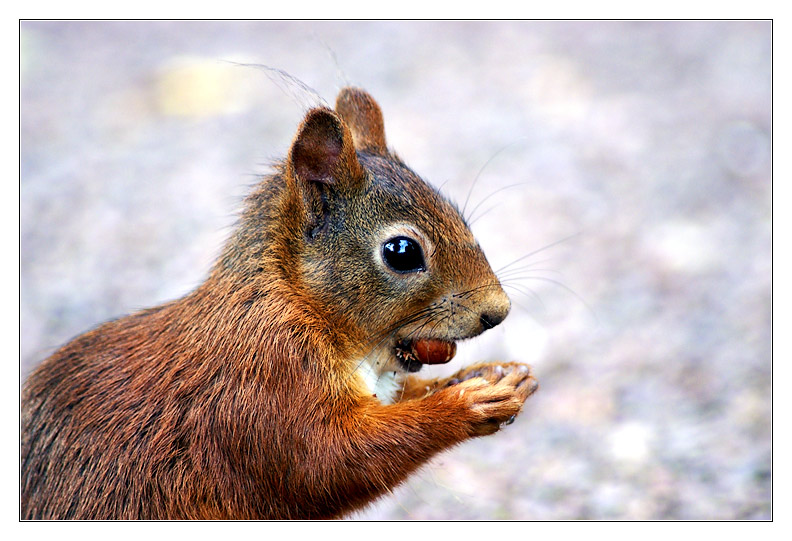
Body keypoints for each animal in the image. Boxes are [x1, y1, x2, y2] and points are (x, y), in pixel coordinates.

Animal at [20, 86, 540, 516]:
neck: (296, 303)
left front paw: (484, 375)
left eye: (459, 216)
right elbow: (328, 464)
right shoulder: (264, 389)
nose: (497, 312)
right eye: (402, 252)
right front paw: (468, 403)